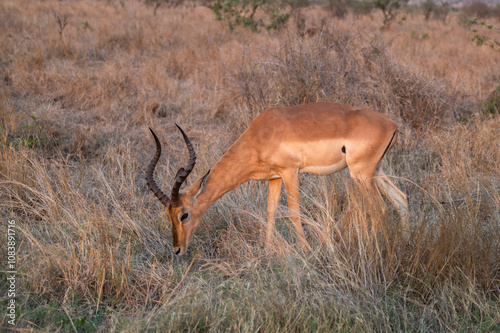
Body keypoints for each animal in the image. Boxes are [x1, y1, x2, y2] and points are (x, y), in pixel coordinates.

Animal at [144, 101, 406, 254]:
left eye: (184, 214)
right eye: (167, 216)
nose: (177, 249)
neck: (261, 134)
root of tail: (392, 124)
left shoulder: (291, 172)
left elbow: (293, 211)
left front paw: (306, 250)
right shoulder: (275, 178)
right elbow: (270, 211)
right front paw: (268, 251)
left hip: (361, 174)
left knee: (380, 209)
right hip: (376, 172)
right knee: (401, 199)